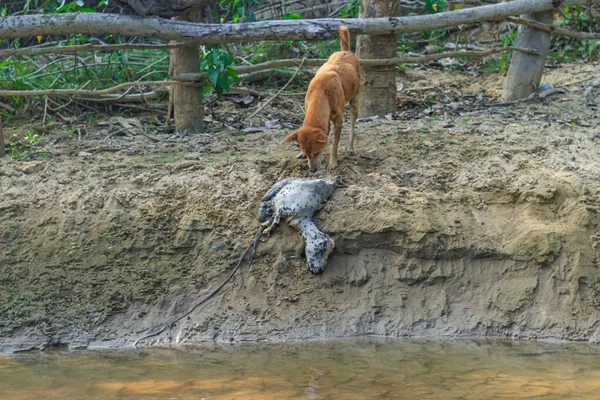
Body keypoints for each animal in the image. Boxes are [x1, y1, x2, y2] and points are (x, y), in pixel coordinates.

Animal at [286, 25, 360, 173]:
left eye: (315, 153)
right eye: (307, 154)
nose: (312, 170)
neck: (321, 93)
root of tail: (346, 51)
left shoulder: (338, 121)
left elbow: (334, 144)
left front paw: (333, 162)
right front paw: (301, 153)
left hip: (354, 102)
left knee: (352, 127)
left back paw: (350, 147)